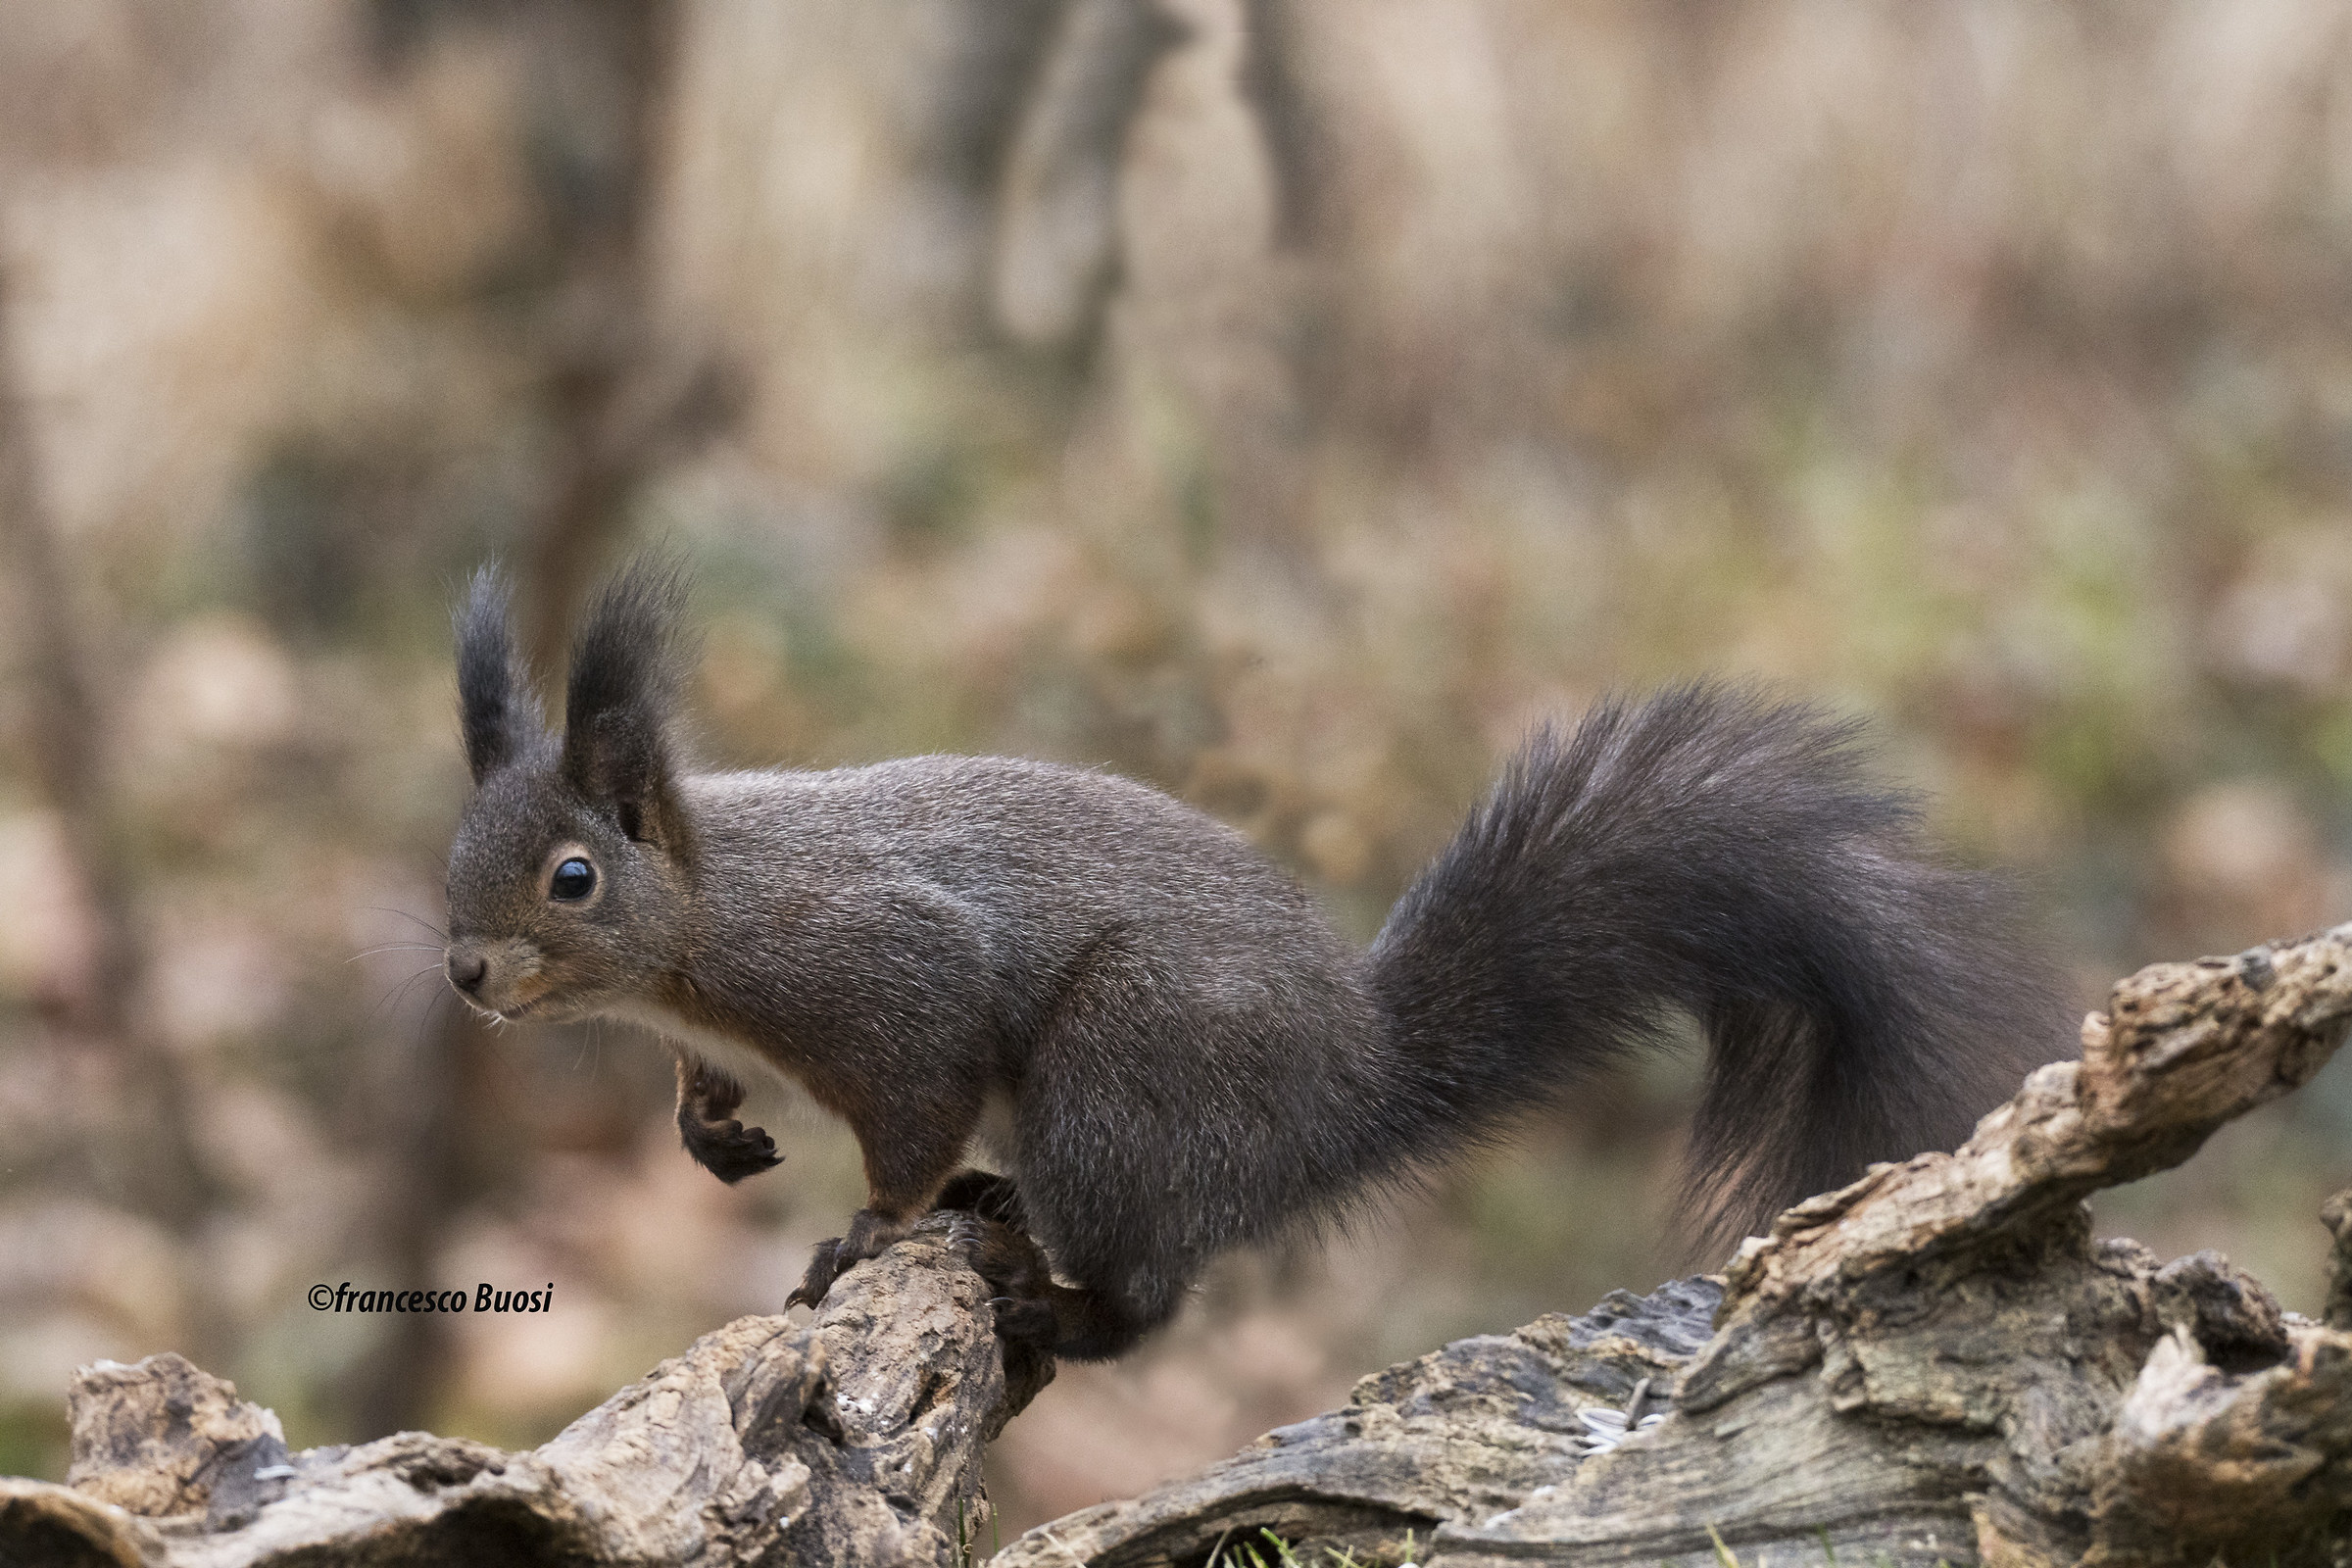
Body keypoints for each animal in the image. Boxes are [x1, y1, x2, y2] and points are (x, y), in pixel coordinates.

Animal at [442, 560, 2064, 1362]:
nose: (462, 973)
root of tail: (1355, 1090)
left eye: (573, 879)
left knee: (1148, 1299)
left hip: (1121, 1081)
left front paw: (866, 1235)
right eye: (454, 842)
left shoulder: (885, 978)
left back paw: (1052, 1300)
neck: (708, 919)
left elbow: (912, 1117)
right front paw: (707, 1128)